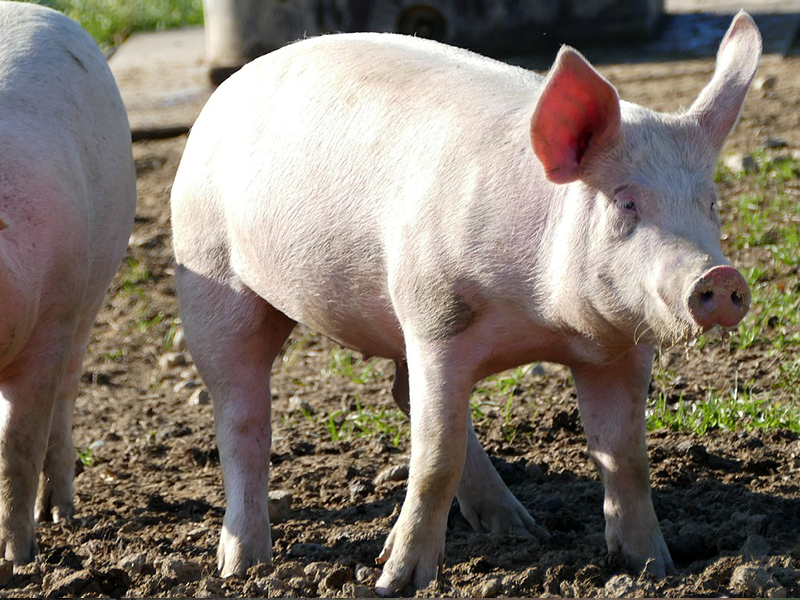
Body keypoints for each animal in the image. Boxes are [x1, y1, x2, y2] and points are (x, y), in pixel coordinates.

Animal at [171, 11, 760, 595]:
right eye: (626, 203)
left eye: (710, 203)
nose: (720, 275)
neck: (547, 325)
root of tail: (232, 85)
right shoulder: (436, 317)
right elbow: (436, 456)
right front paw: (397, 583)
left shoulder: (622, 347)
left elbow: (627, 456)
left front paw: (654, 568)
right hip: (209, 272)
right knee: (242, 415)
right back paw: (242, 566)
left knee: (401, 391)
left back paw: (523, 531)